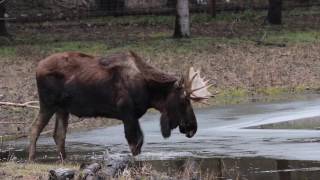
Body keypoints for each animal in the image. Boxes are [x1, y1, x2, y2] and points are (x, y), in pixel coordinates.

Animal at [28, 50, 212, 160]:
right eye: (184, 100)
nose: (193, 127)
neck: (150, 91)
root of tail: (37, 67)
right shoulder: (126, 112)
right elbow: (134, 142)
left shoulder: (133, 115)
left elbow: (139, 141)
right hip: (48, 103)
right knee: (35, 128)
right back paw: (32, 159)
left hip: (62, 108)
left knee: (59, 134)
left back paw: (64, 159)